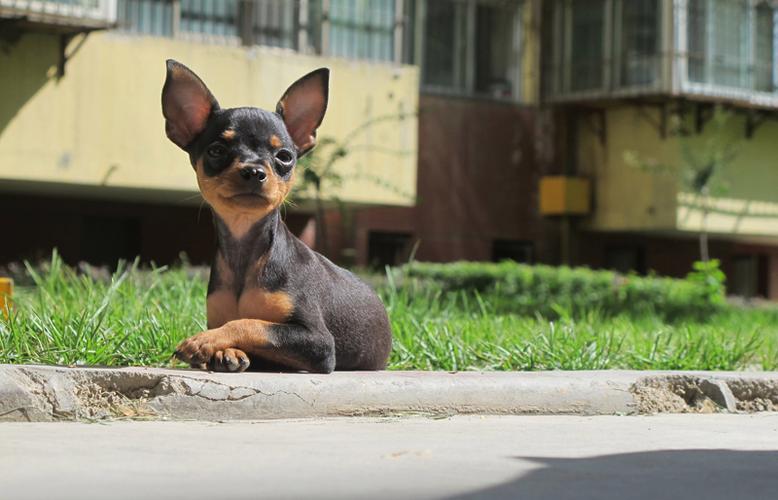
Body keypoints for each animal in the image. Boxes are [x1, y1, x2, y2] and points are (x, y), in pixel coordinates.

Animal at [164, 59, 394, 372]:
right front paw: (227, 351)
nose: (254, 171)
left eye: (284, 156)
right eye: (217, 151)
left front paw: (205, 341)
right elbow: (240, 324)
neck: (246, 252)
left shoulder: (320, 343)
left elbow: (252, 324)